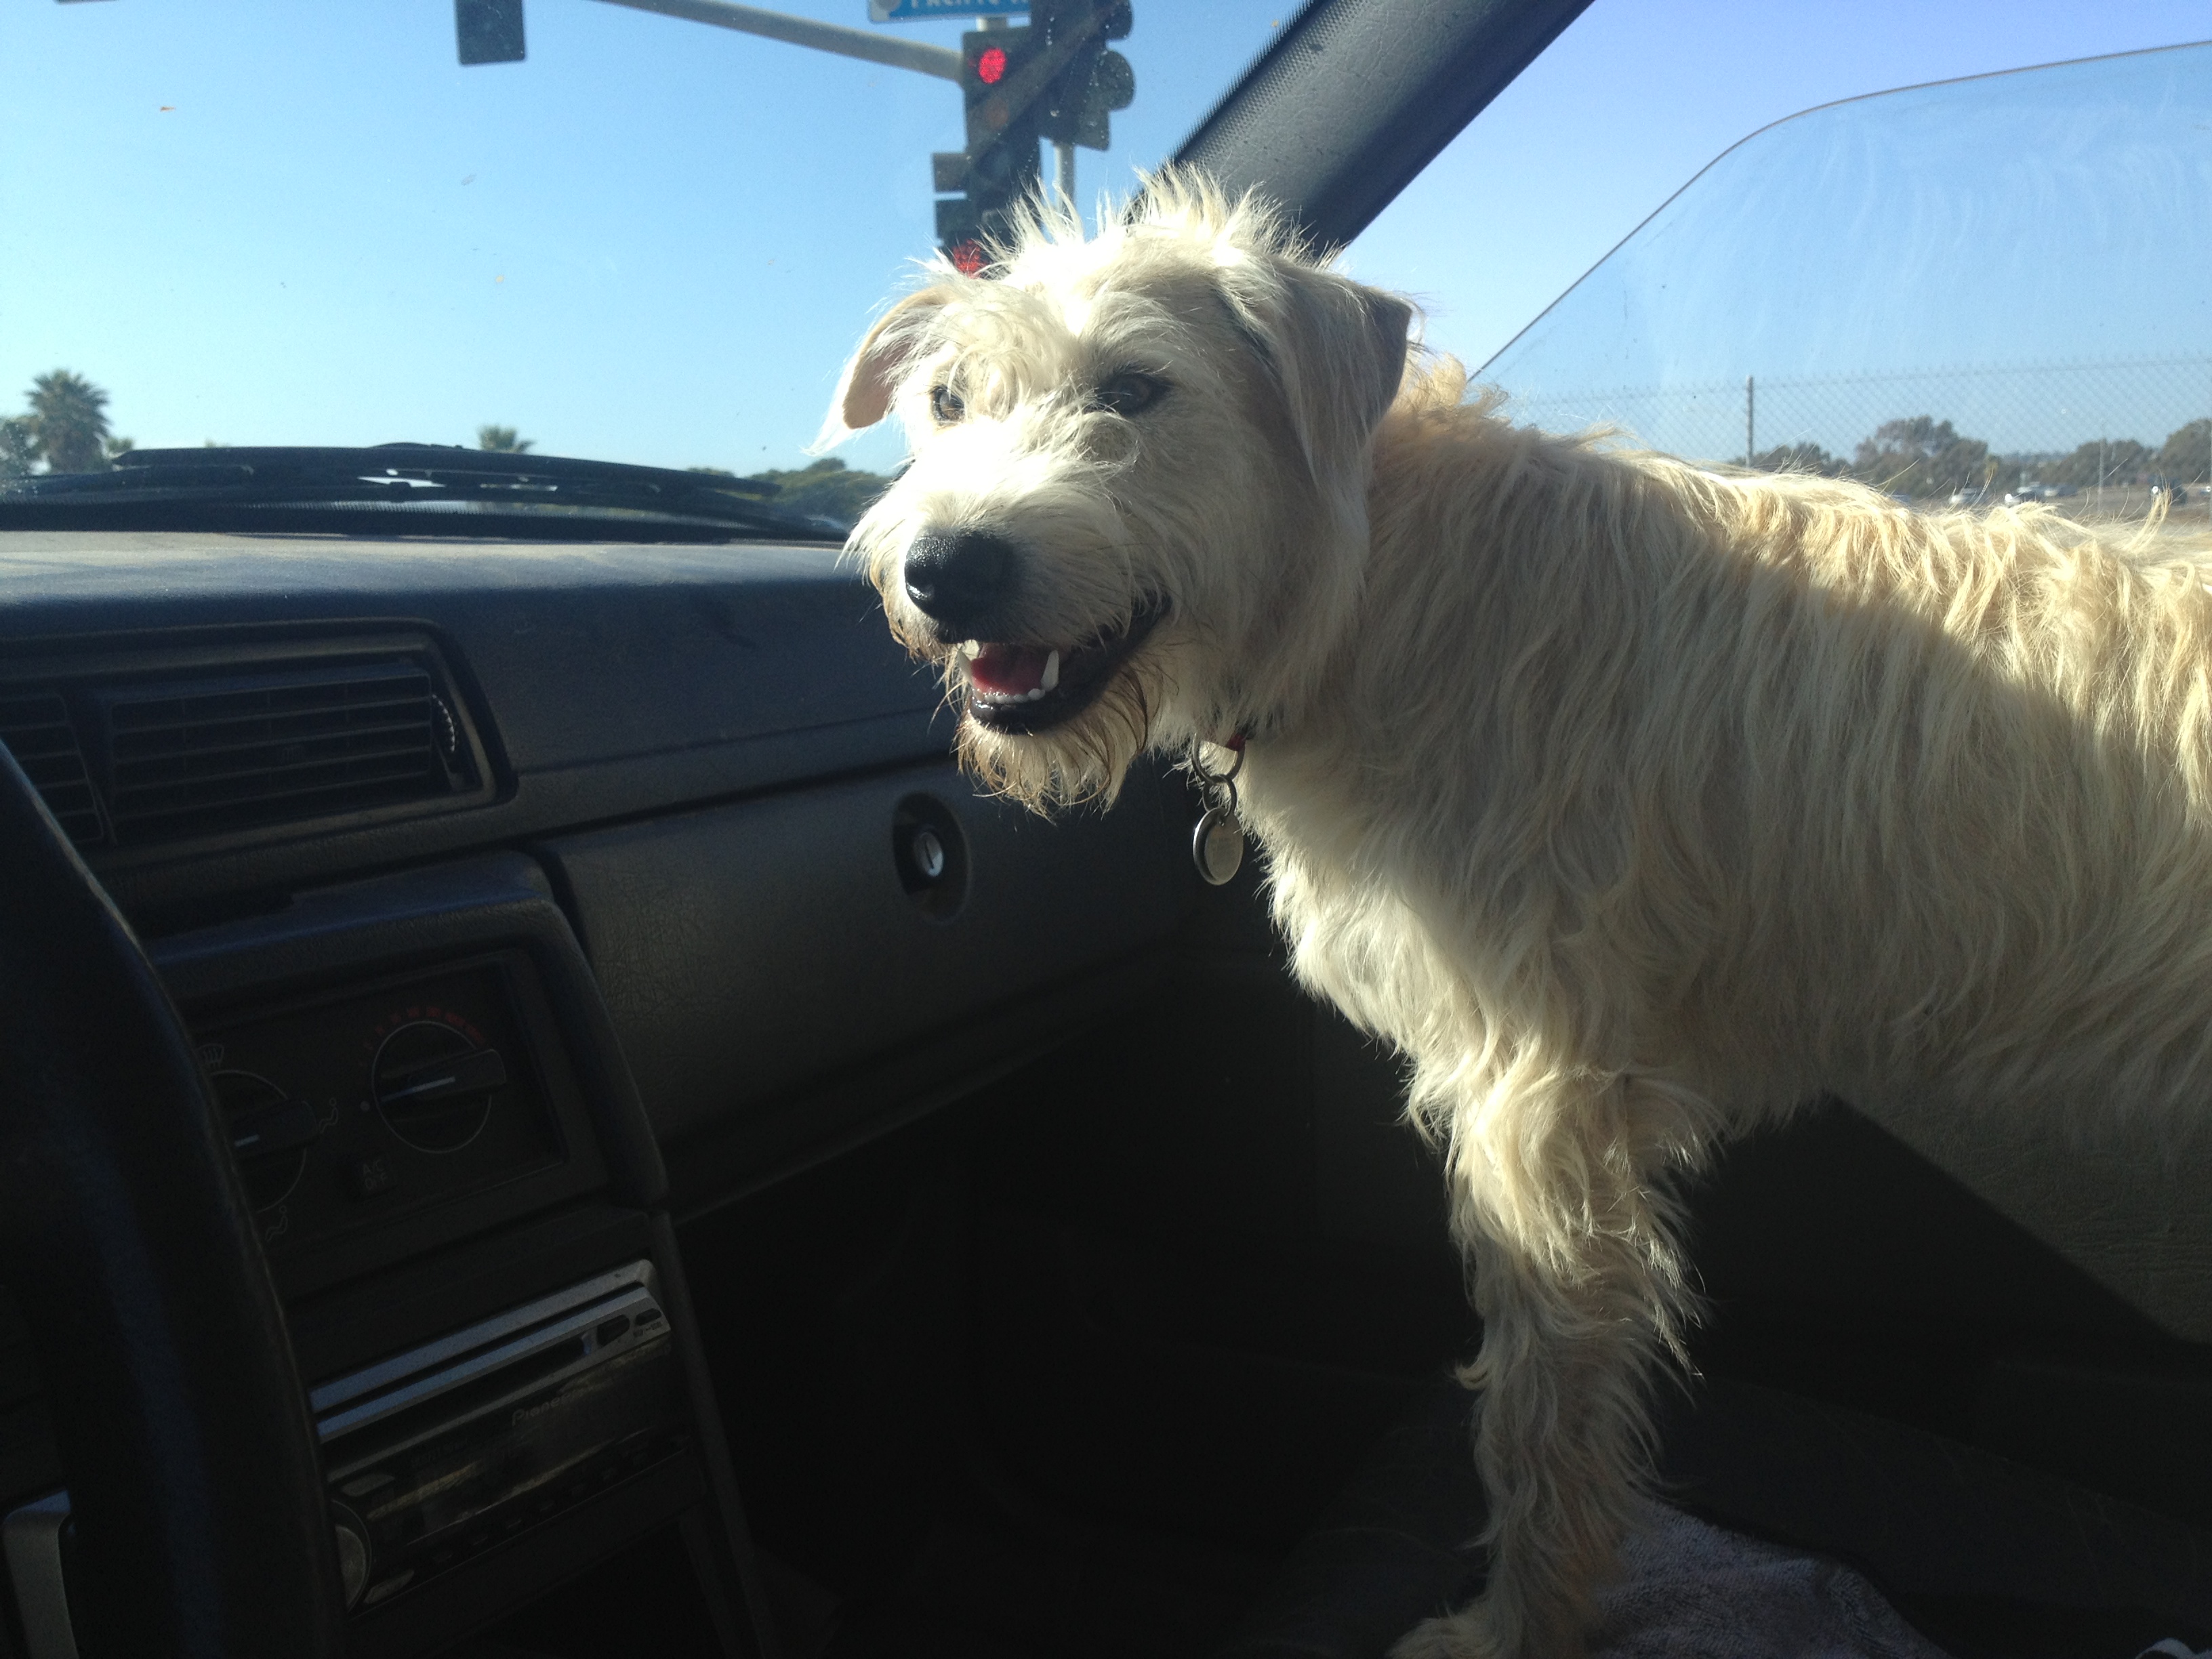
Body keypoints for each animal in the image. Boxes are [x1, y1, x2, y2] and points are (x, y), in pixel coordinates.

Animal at [822, 168, 2212, 1658]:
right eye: (946, 400)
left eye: (1136, 389)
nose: (945, 570)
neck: (1374, 588)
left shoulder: (1542, 1101)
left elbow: (1539, 1407)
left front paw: (1513, 1625)